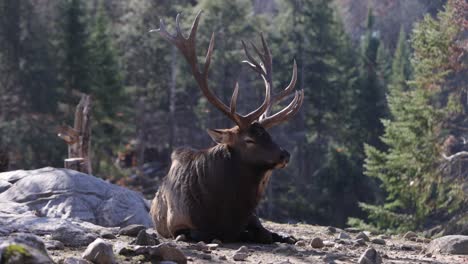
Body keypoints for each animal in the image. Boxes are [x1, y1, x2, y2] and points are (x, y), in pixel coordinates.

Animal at [149, 11, 304, 243]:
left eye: (268, 134)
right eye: (249, 139)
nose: (285, 154)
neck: (224, 208)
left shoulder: (249, 219)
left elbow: (262, 233)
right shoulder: (178, 224)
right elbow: (199, 233)